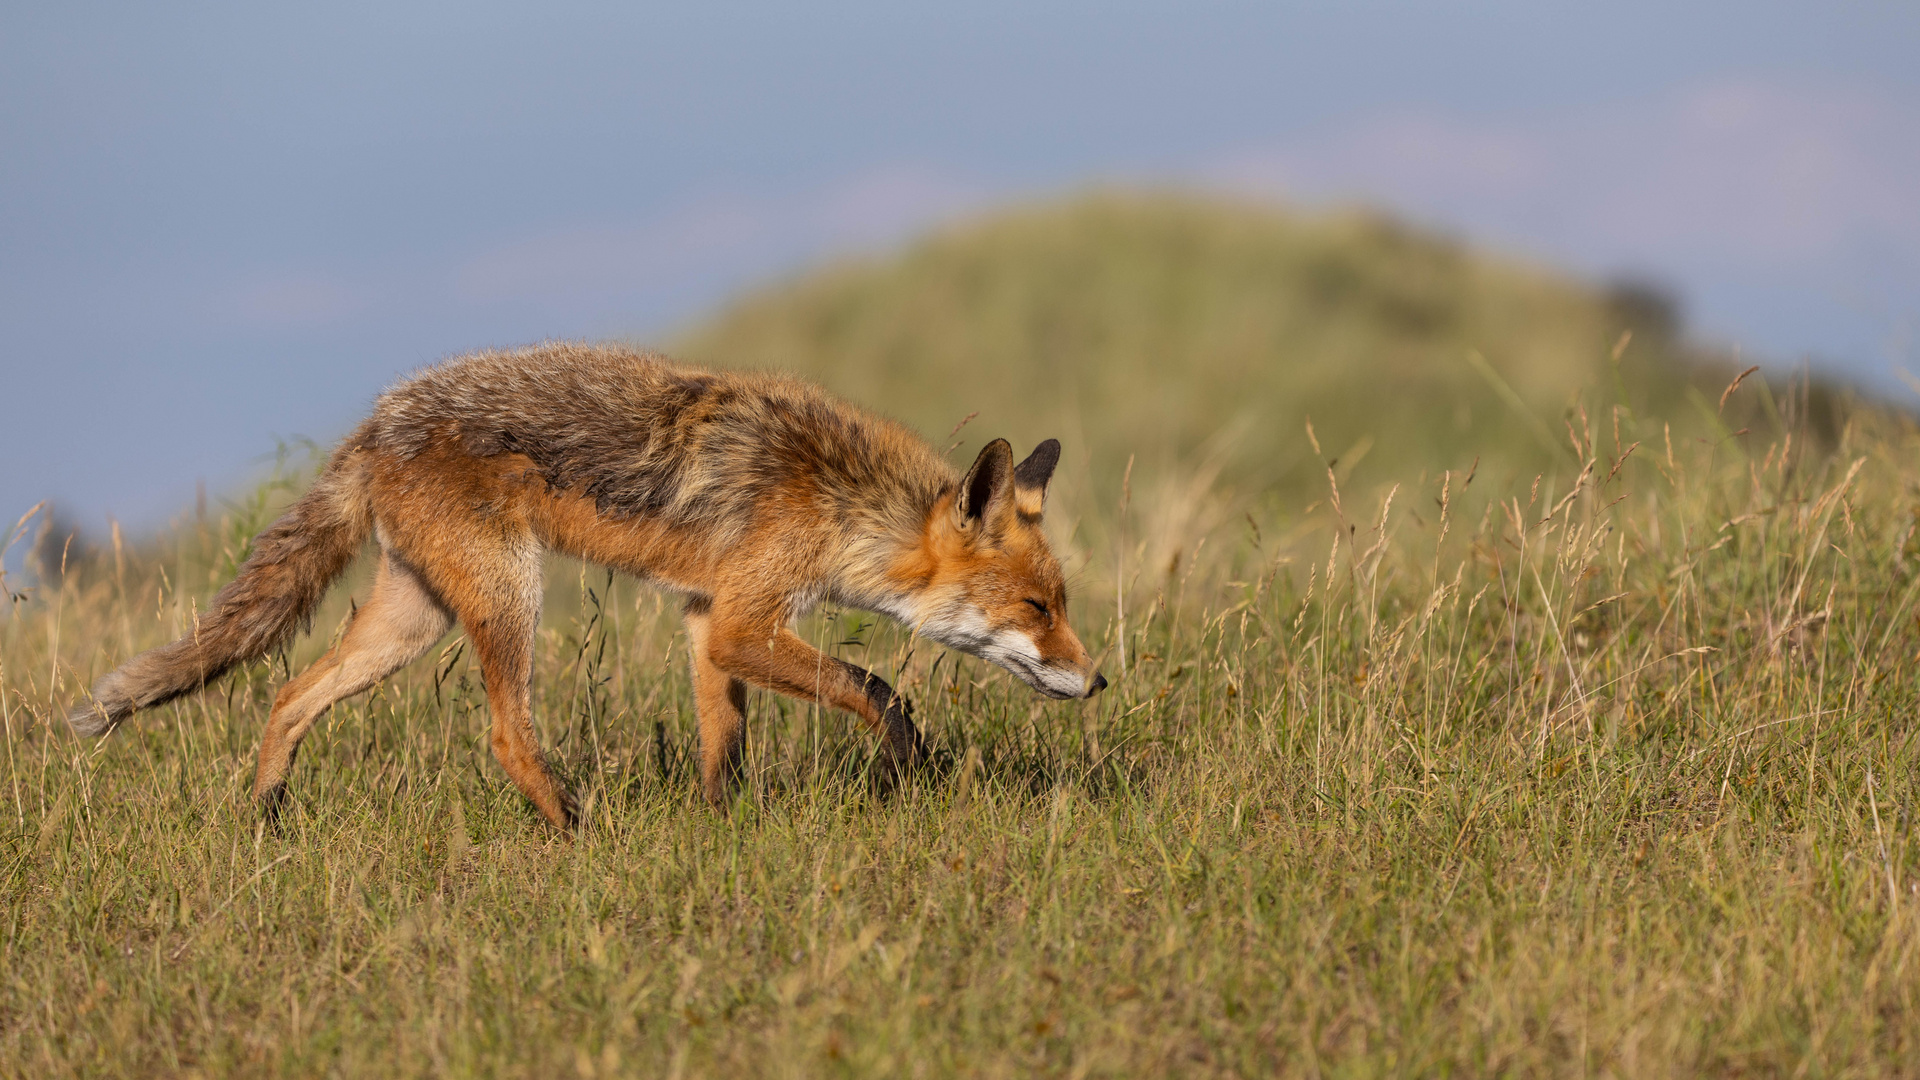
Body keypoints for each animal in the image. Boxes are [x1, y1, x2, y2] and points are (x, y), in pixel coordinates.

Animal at [63, 340, 1113, 826]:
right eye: (1036, 608)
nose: (1098, 678)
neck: (837, 500)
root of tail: (375, 420)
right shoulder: (743, 621)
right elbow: (877, 688)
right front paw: (907, 769)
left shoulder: (707, 617)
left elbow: (723, 742)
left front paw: (720, 826)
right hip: (506, 600)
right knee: (504, 735)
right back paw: (572, 827)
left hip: (411, 620)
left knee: (287, 693)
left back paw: (270, 817)